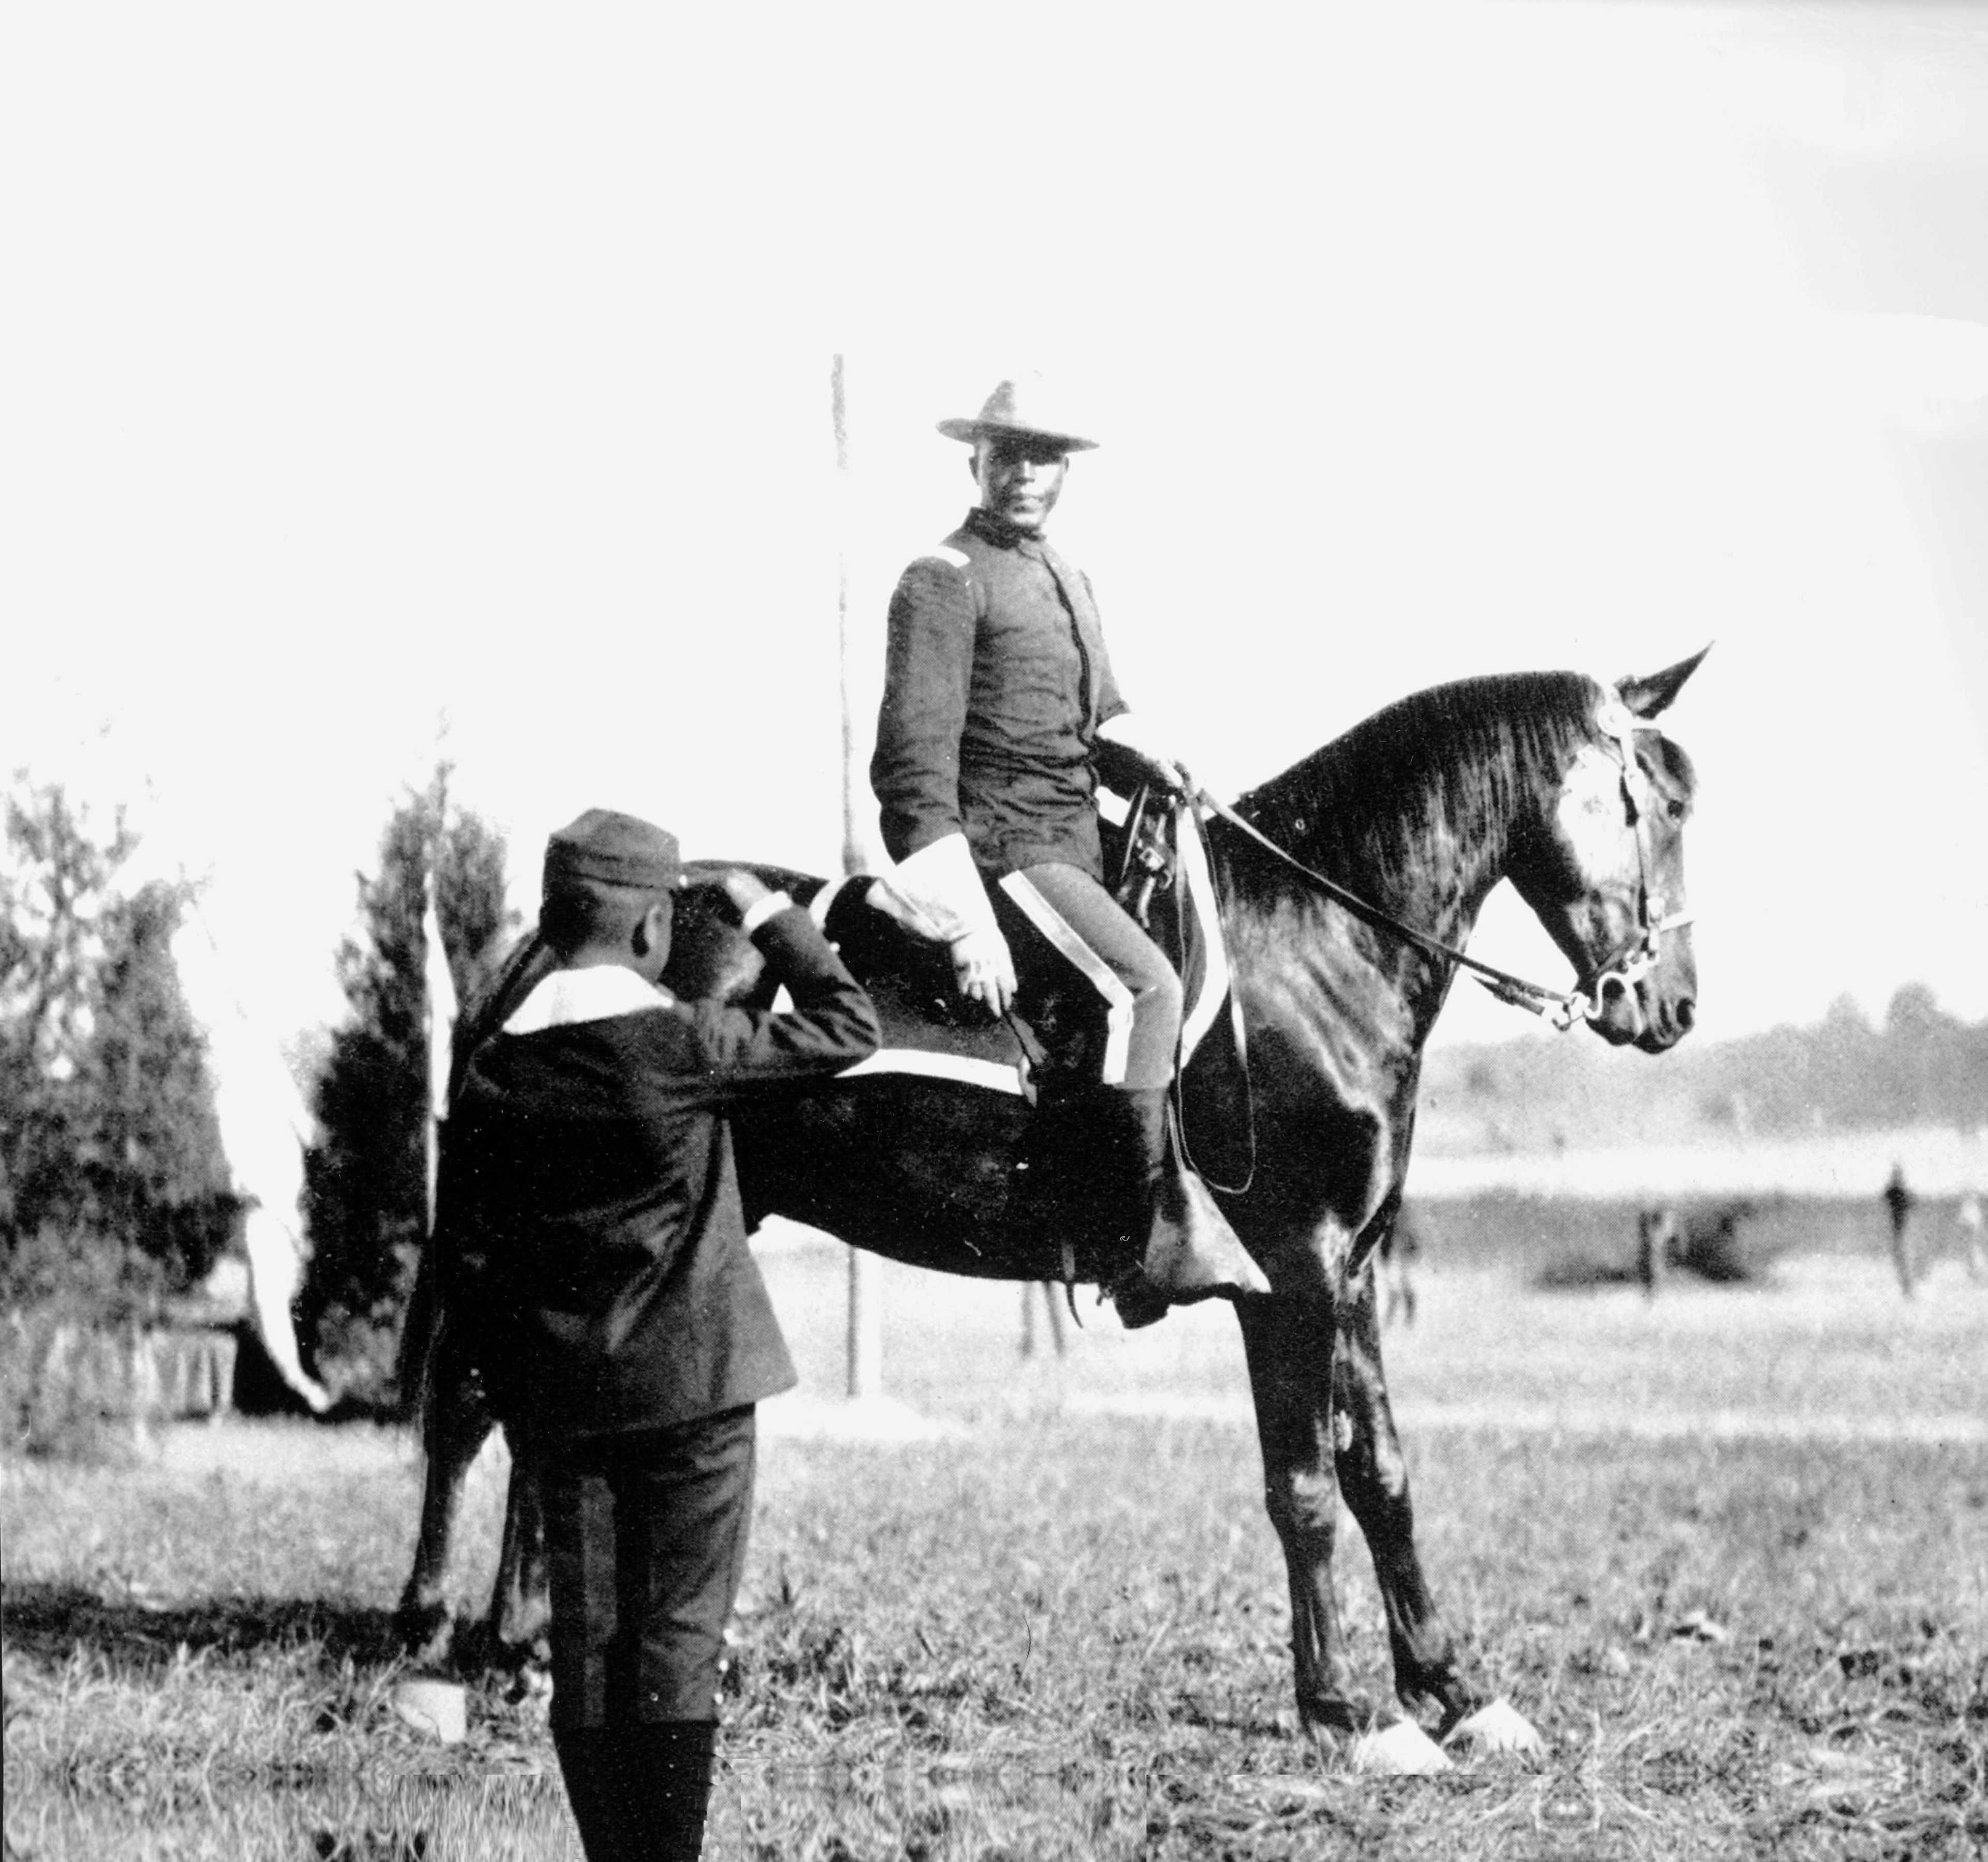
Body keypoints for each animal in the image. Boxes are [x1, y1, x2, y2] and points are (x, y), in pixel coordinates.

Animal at [399, 655, 1709, 1772]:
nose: (1673, 1005)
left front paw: (1453, 1689)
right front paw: (1351, 1711)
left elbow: (1379, 1470)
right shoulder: (1294, 1274)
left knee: (543, 1408)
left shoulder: (1351, 1270)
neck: (1313, 948)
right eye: (1653, 801)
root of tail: (552, 939)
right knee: (472, 1404)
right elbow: (1305, 1489)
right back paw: (443, 1656)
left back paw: (525, 1646)